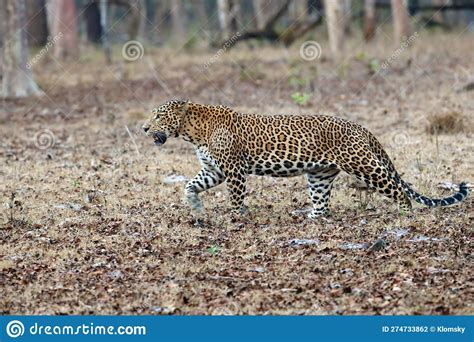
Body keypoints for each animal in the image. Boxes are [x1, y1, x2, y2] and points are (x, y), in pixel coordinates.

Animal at [143, 101, 468, 219]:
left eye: (158, 115)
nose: (144, 128)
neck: (193, 132)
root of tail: (359, 126)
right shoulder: (214, 170)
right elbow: (190, 185)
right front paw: (197, 207)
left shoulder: (233, 170)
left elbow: (235, 197)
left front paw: (237, 217)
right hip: (319, 175)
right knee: (322, 204)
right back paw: (310, 216)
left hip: (362, 164)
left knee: (398, 188)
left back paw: (403, 213)